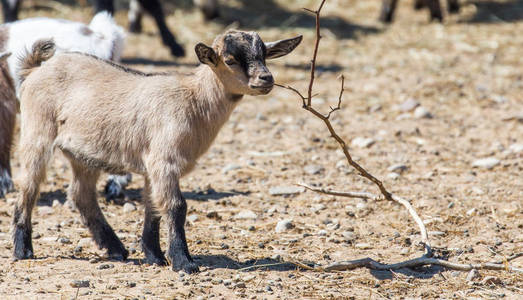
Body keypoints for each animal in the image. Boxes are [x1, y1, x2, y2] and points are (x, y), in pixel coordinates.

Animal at [13, 29, 302, 272]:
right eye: (230, 60)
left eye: (264, 55)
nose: (266, 79)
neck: (195, 100)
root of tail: (36, 69)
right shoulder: (164, 160)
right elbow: (176, 207)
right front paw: (183, 262)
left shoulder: (153, 165)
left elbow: (153, 207)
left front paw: (154, 255)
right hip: (37, 132)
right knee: (29, 186)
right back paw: (22, 250)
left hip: (83, 153)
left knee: (80, 194)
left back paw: (115, 248)